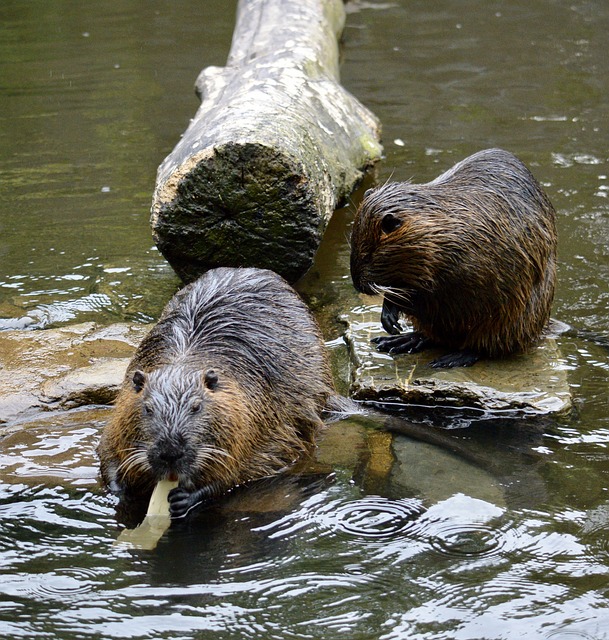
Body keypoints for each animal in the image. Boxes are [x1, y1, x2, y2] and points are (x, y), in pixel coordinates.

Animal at [97, 266, 344, 520]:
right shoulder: (121, 411)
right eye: (147, 408)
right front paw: (120, 489)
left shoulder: (259, 423)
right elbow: (106, 451)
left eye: (197, 407)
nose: (171, 452)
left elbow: (240, 471)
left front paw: (187, 498)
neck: (184, 361)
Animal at [350, 148, 560, 368]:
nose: (358, 285)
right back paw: (402, 341)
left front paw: (393, 315)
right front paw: (389, 319)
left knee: (487, 344)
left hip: (520, 317)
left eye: (370, 253)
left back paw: (451, 358)